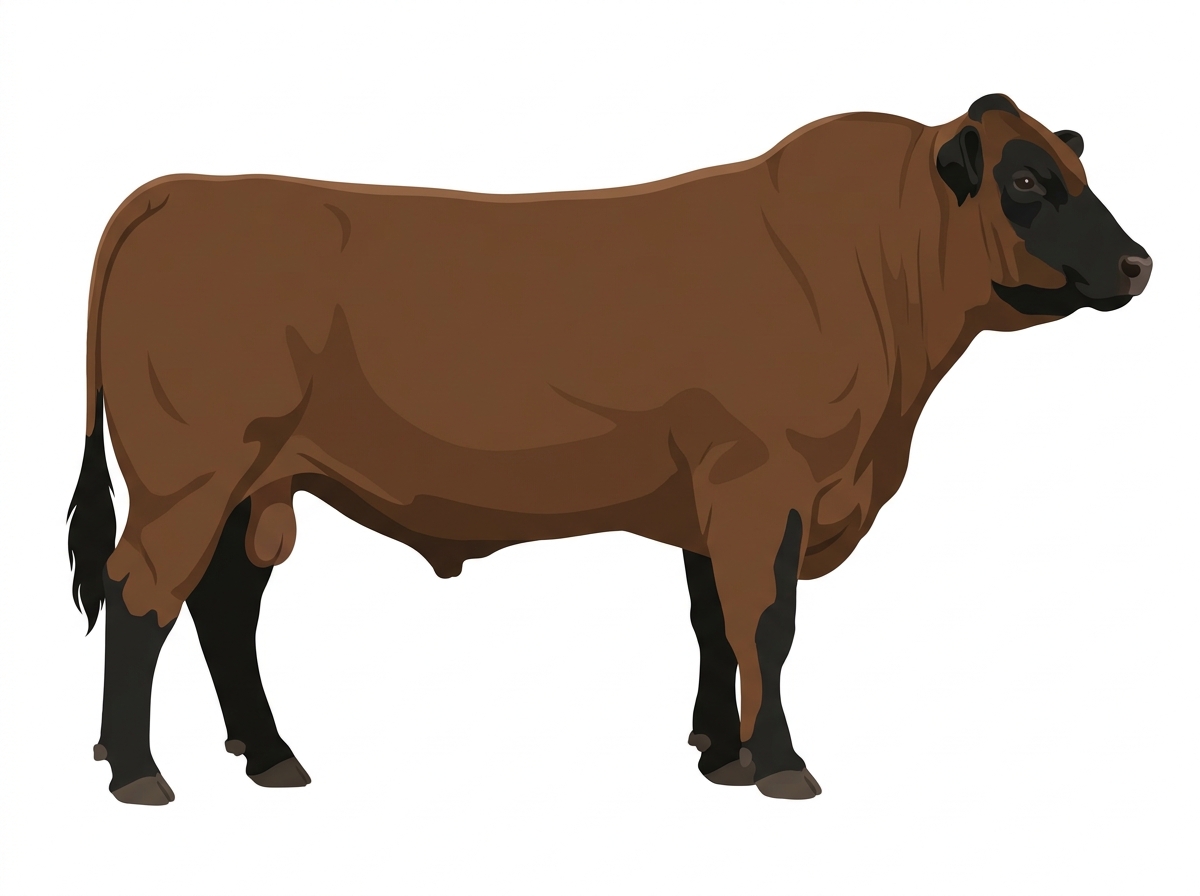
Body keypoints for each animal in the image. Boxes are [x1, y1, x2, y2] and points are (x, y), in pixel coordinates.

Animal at [67, 94, 1151, 805]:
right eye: (1025, 179)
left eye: (1079, 170)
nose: (1139, 262)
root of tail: (178, 190)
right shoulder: (764, 482)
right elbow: (766, 625)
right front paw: (782, 765)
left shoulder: (715, 497)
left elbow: (713, 623)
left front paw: (722, 753)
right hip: (190, 474)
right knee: (140, 592)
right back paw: (138, 771)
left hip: (257, 482)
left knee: (223, 604)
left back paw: (268, 754)